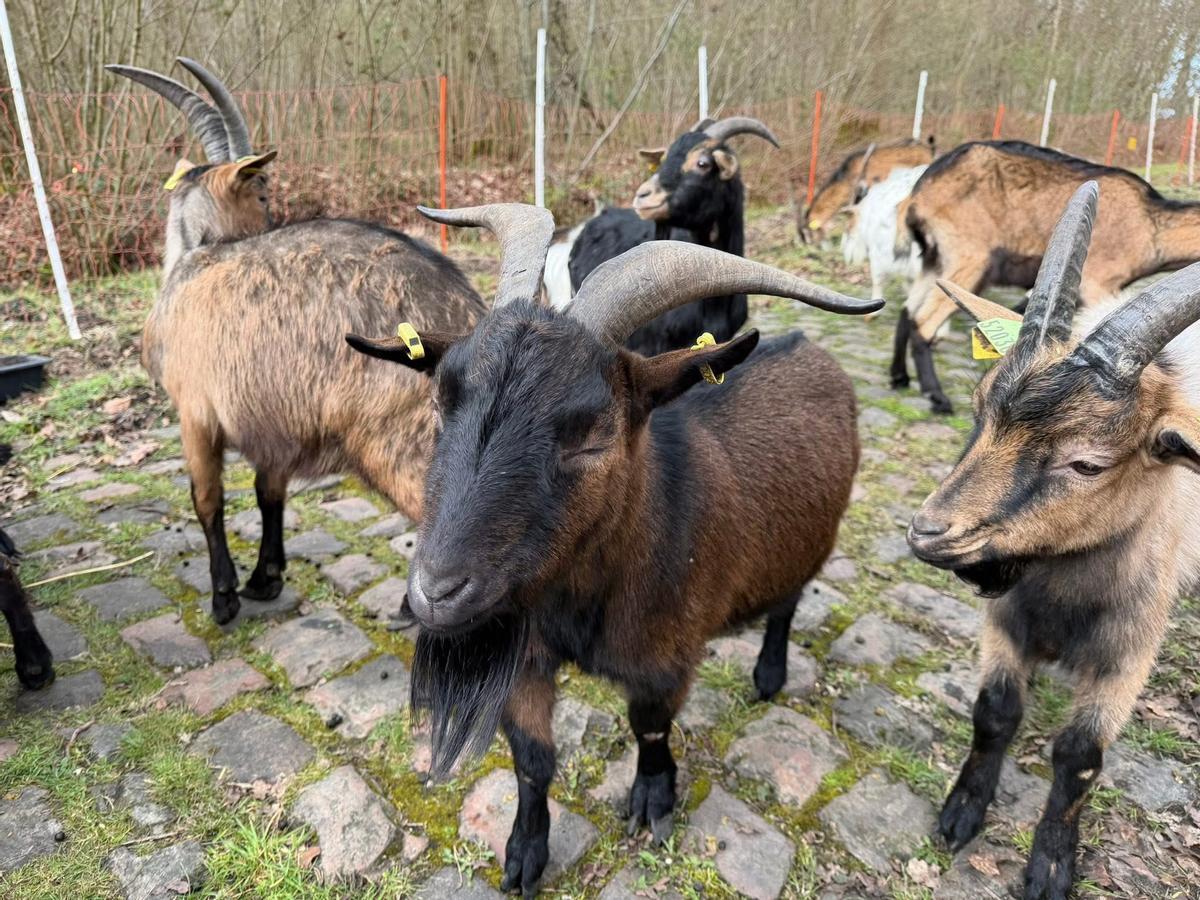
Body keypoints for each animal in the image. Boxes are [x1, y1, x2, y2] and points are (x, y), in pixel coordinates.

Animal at [108, 59, 487, 624]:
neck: (197, 259)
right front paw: (266, 578)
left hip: (400, 442)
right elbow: (268, 493)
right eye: (264, 192)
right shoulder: (271, 422)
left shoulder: (195, 410)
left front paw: (223, 596)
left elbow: (207, 498)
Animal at [346, 203, 882, 896]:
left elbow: (650, 729)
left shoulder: (666, 659)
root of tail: (814, 350)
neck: (585, 602)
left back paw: (768, 675)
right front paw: (524, 854)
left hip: (813, 540)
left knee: (787, 603)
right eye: (441, 399)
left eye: (594, 435)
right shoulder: (527, 658)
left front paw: (654, 800)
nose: (436, 594)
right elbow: (533, 758)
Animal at [891, 140, 1200, 414]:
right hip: (970, 258)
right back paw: (937, 397)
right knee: (924, 322)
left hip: (934, 261)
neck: (1151, 224)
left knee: (908, 310)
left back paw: (899, 377)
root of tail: (919, 192)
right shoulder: (1097, 283)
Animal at [908, 182, 1200, 900]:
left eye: (1088, 463)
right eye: (979, 407)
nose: (928, 532)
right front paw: (962, 812)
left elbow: (1081, 757)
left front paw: (1050, 864)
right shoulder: (1004, 621)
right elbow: (995, 711)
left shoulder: (1128, 652)